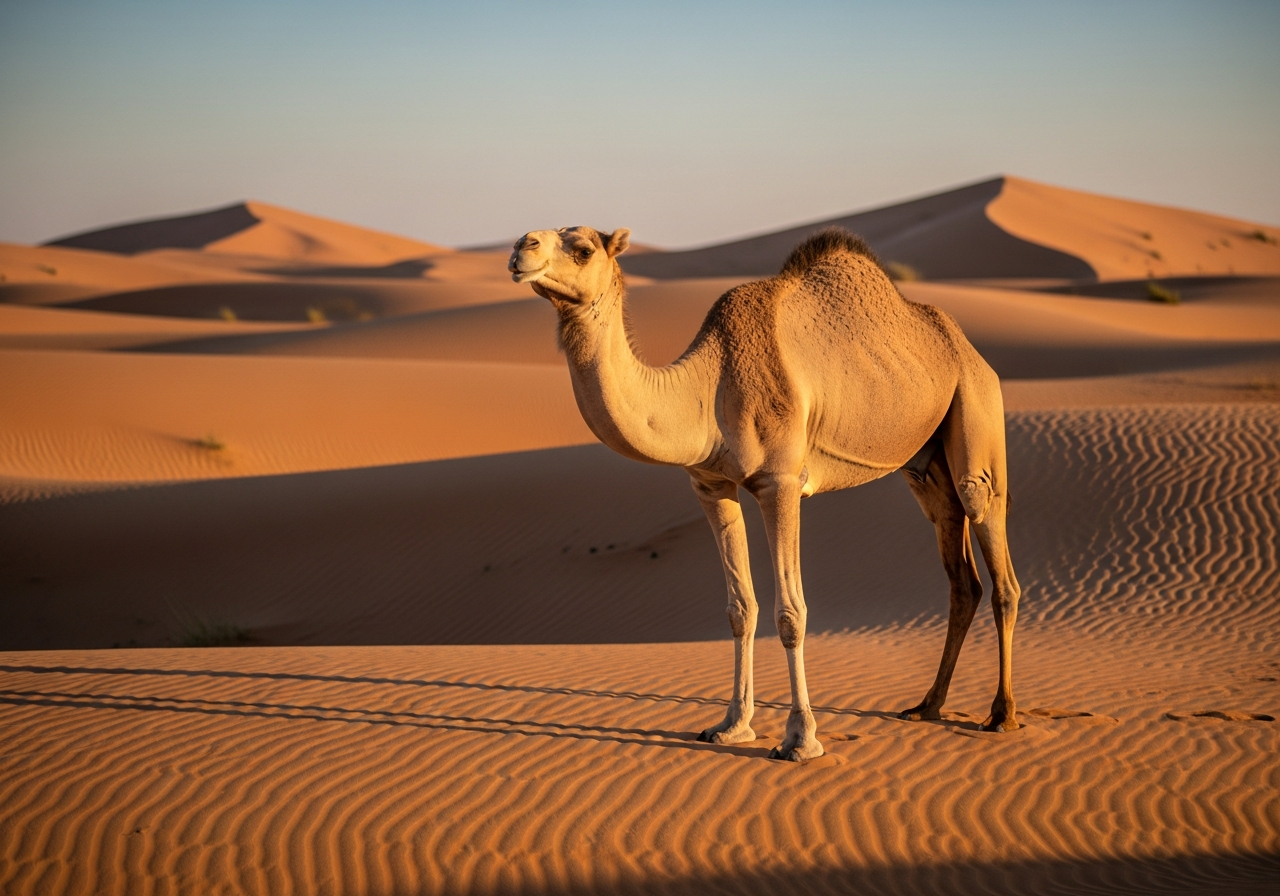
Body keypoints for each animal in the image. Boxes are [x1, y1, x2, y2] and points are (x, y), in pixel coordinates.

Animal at [510, 225, 1021, 761]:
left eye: (583, 248)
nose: (522, 247)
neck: (708, 387)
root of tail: (969, 351)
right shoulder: (711, 484)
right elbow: (741, 608)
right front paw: (732, 725)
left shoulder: (781, 483)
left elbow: (790, 613)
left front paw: (800, 739)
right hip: (924, 465)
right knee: (960, 571)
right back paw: (927, 705)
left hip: (976, 410)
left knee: (996, 554)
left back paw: (1001, 714)